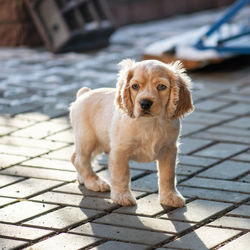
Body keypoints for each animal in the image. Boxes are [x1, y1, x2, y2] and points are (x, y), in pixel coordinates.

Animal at [69, 59, 194, 207]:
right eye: (135, 86)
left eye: (161, 87)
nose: (145, 103)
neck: (150, 123)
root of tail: (83, 94)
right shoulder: (120, 151)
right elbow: (121, 174)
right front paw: (122, 197)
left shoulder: (169, 149)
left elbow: (168, 175)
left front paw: (170, 196)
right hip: (87, 139)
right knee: (80, 160)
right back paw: (95, 182)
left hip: (98, 143)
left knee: (75, 157)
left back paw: (83, 178)